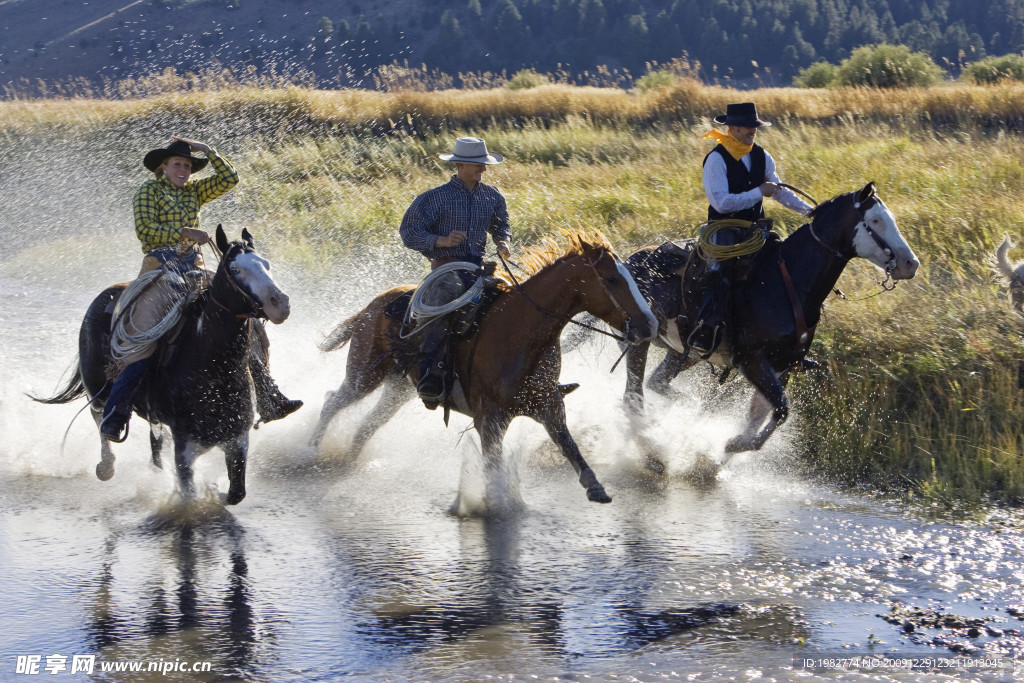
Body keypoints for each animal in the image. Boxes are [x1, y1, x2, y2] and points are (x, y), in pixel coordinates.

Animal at [34, 227, 290, 505]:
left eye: (266, 264)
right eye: (235, 268)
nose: (280, 303)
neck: (214, 370)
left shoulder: (237, 438)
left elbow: (235, 494)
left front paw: (215, 490)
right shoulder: (185, 443)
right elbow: (189, 493)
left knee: (155, 439)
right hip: (97, 389)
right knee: (100, 418)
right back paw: (106, 465)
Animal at [307, 232, 655, 505]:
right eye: (611, 279)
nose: (649, 324)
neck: (520, 332)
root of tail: (375, 302)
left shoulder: (548, 405)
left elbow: (569, 444)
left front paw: (596, 487)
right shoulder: (490, 419)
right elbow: (493, 465)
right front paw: (496, 504)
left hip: (398, 388)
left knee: (369, 423)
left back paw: (351, 459)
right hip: (364, 375)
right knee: (332, 401)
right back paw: (309, 452)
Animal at [614, 184, 921, 456]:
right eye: (876, 220)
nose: (911, 264)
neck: (788, 283)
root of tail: (629, 261)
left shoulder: (783, 365)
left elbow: (766, 416)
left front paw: (723, 457)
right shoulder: (753, 360)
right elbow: (780, 410)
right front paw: (732, 445)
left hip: (684, 351)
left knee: (656, 382)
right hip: (641, 341)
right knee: (633, 397)